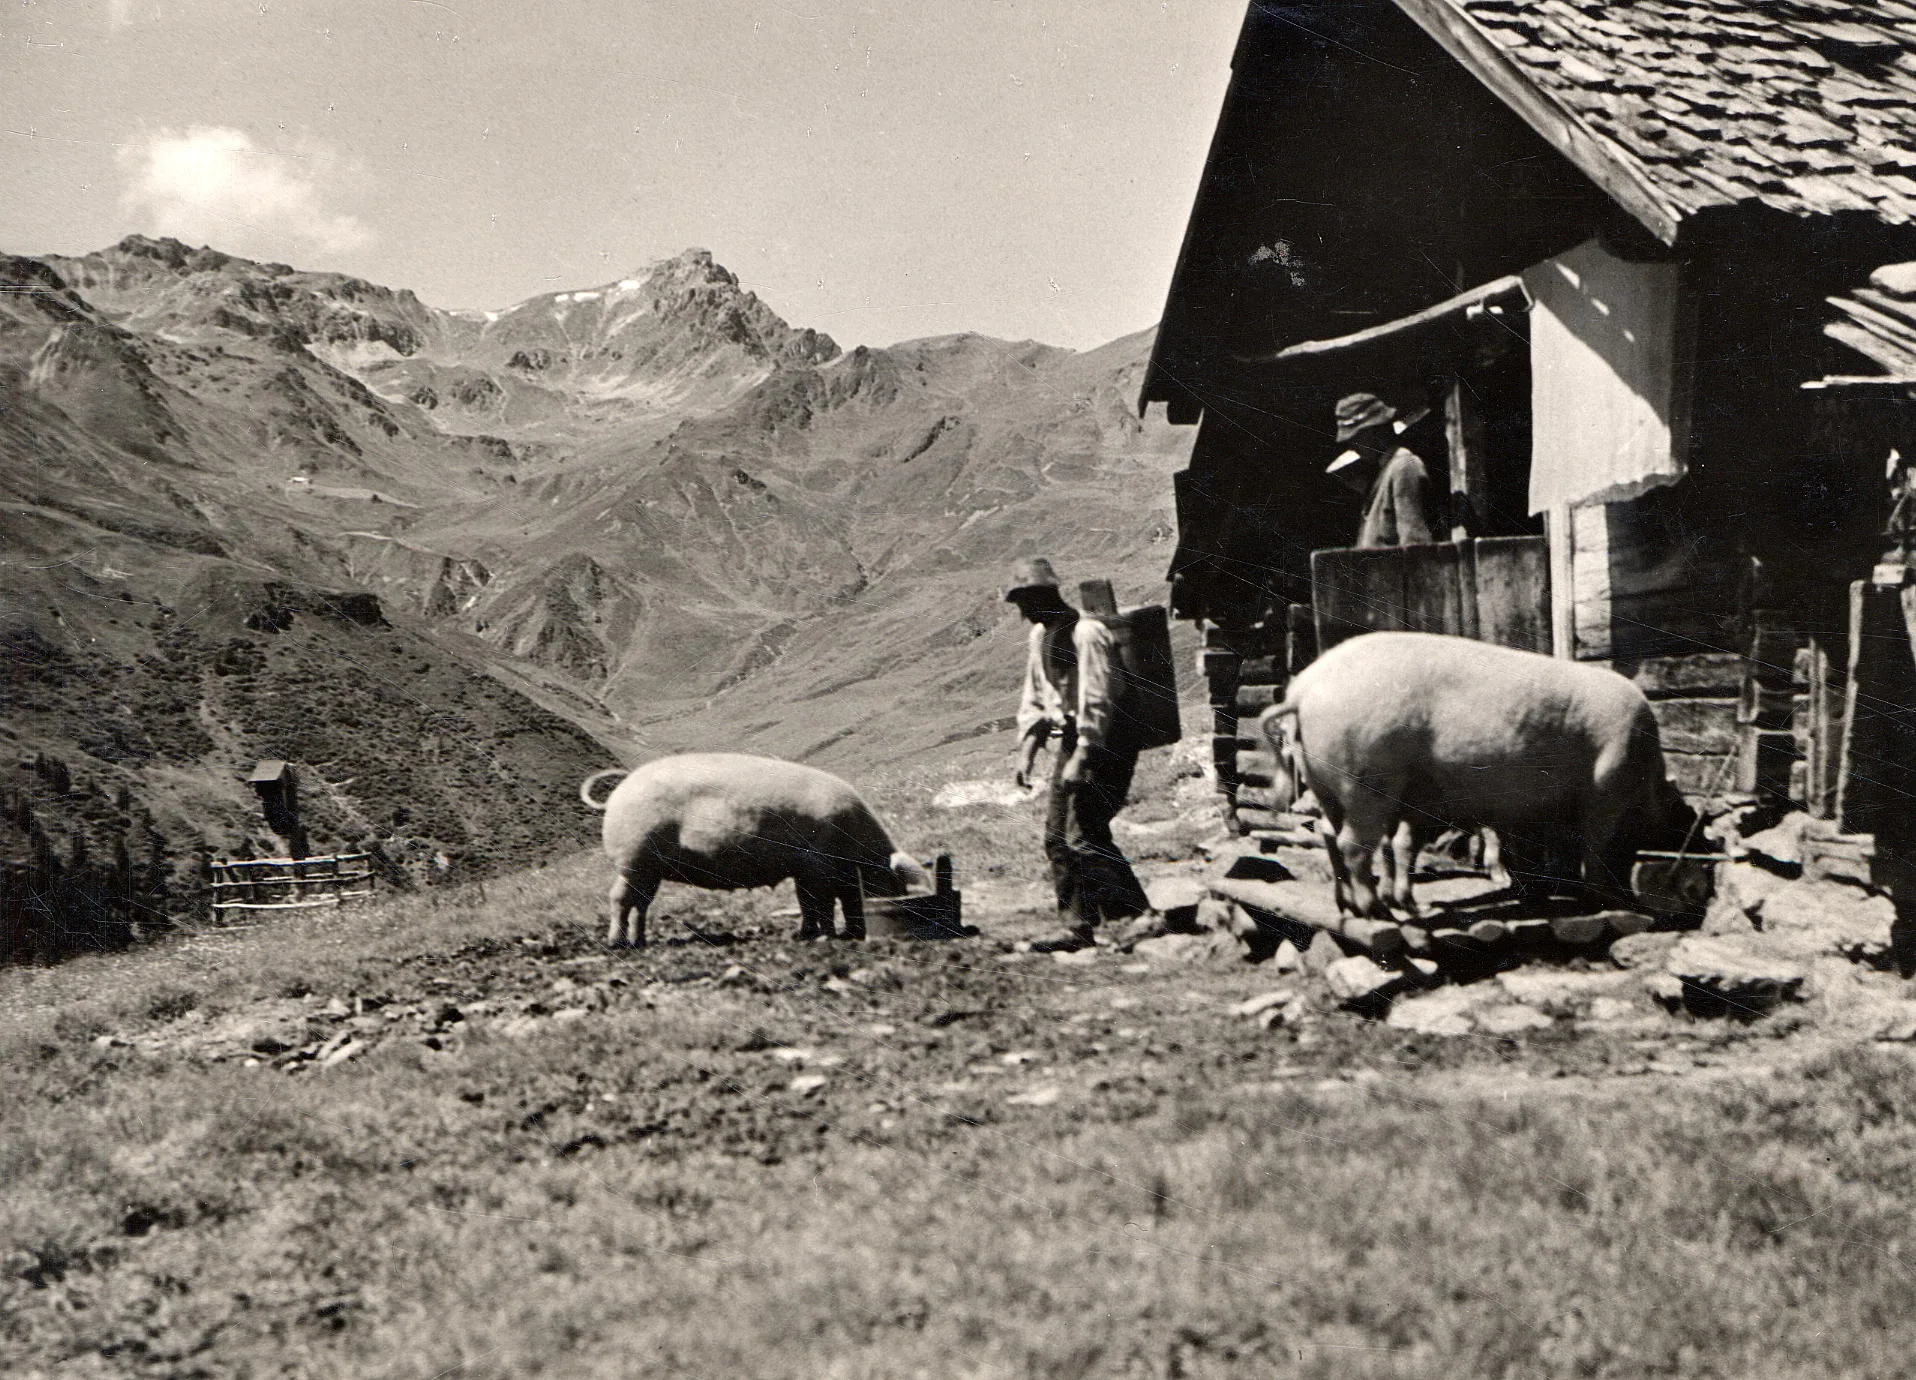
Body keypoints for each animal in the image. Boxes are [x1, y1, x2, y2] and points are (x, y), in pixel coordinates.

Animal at [579, 753, 931, 946]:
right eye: (893, 884)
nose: (859, 932)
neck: (856, 847)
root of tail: (621, 790)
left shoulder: (804, 872)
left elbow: (807, 904)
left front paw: (805, 934)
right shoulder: (817, 868)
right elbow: (823, 903)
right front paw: (827, 935)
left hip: (650, 869)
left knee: (641, 903)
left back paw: (640, 941)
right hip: (634, 858)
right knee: (619, 898)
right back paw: (617, 944)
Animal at [1260, 631, 1687, 919]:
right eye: (1673, 806)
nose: (1685, 828)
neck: (1647, 769)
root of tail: (1305, 689)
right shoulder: (1607, 787)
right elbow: (1595, 847)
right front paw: (1607, 901)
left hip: (1325, 782)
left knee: (1331, 835)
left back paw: (1355, 906)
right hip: (1366, 781)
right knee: (1352, 844)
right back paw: (1376, 911)